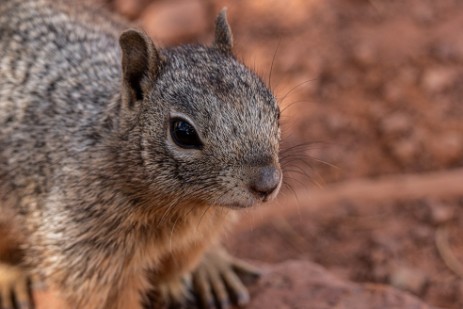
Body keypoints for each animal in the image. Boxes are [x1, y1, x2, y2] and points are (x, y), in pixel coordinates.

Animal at [0, 0, 282, 308]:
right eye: (183, 132)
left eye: (275, 108)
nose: (268, 183)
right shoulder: (85, 256)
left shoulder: (197, 237)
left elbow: (177, 267)